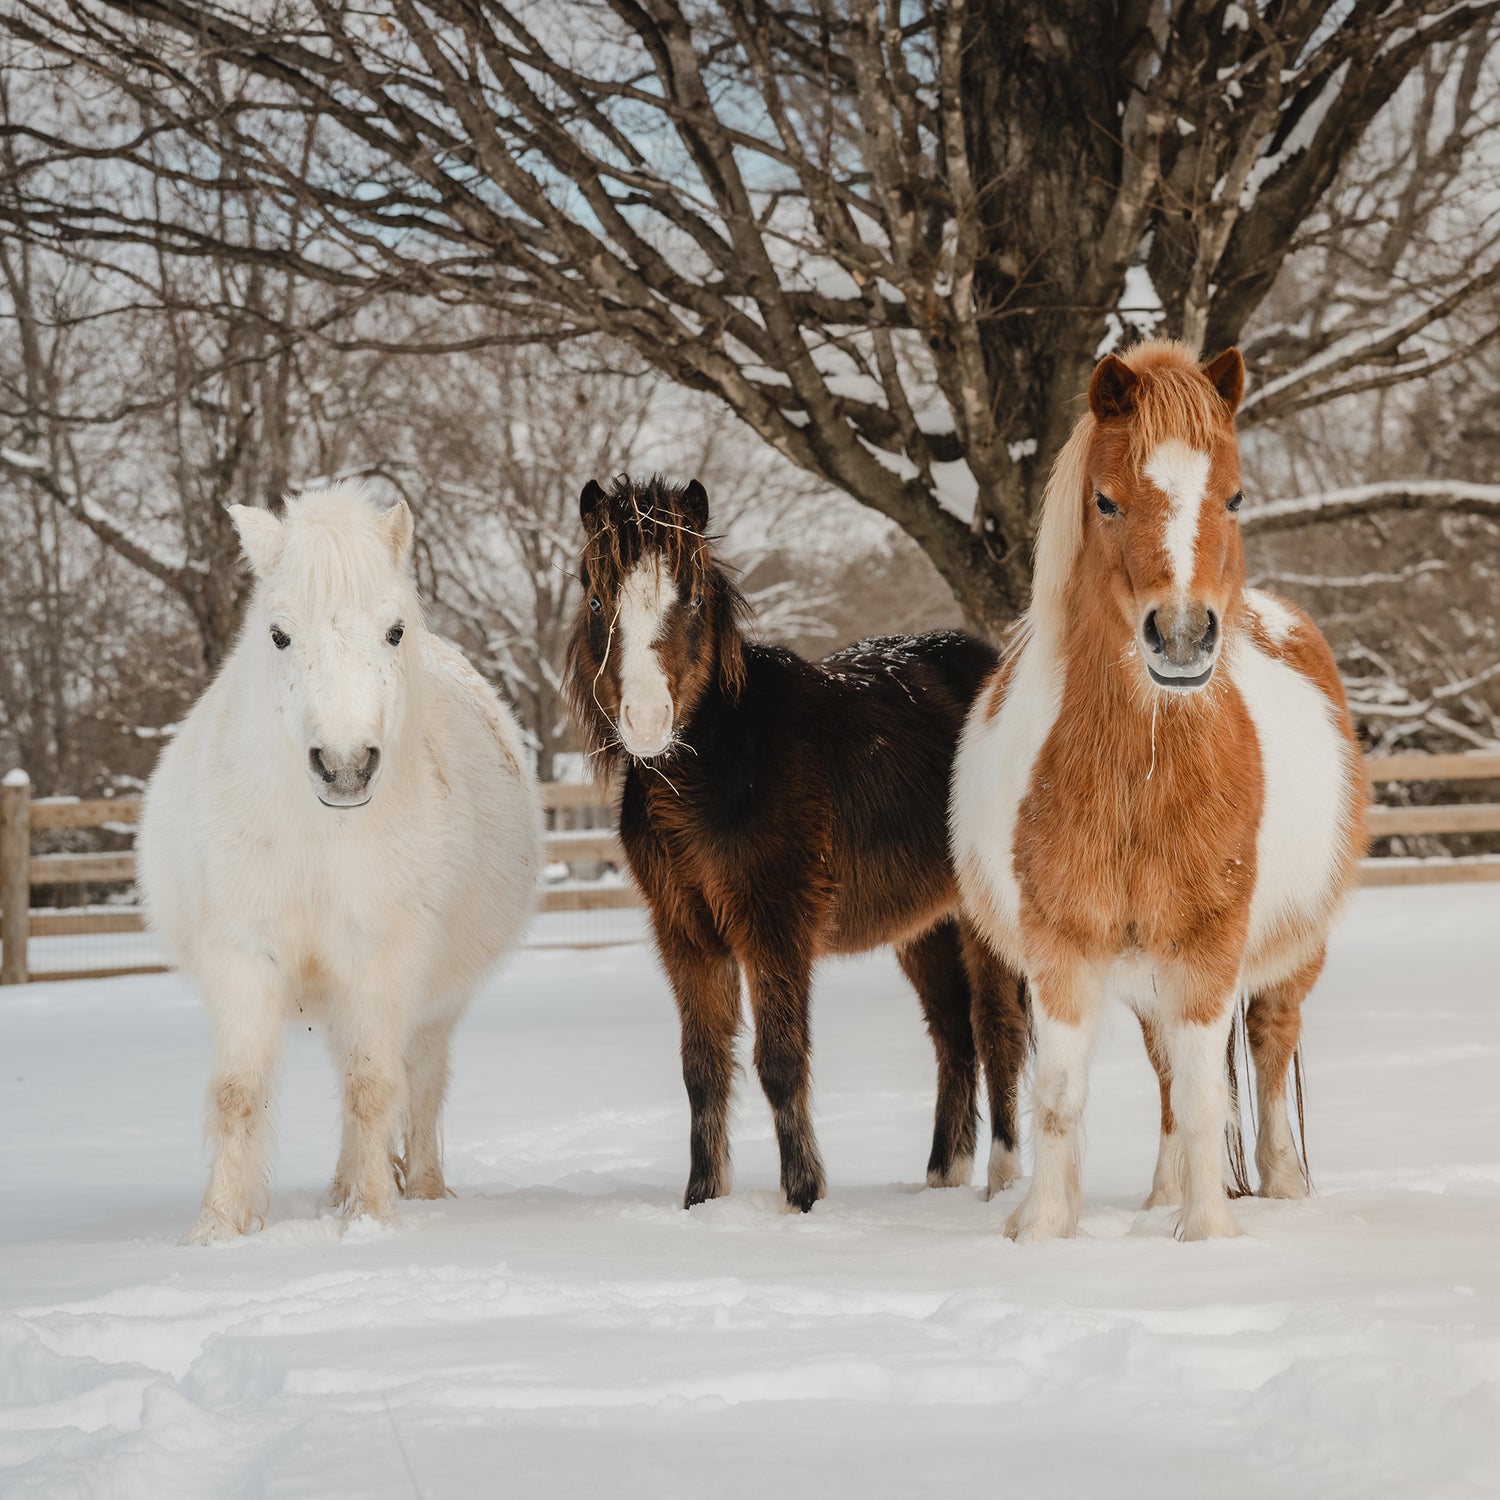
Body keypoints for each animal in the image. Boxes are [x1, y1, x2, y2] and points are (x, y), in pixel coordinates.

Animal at [138, 480, 543, 1242]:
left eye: (393, 631)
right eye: (279, 634)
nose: (347, 766)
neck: (318, 838)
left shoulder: (382, 960)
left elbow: (375, 1087)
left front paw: (373, 1219)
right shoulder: (244, 955)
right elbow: (239, 1092)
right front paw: (217, 1230)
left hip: (431, 1004)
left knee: (419, 1081)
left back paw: (419, 1189)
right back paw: (339, 1189)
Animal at [564, 474, 1032, 1212]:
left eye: (690, 598)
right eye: (595, 598)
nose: (646, 721)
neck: (718, 774)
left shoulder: (773, 926)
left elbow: (780, 1062)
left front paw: (802, 1197)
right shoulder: (685, 937)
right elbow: (702, 1068)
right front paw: (703, 1200)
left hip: (983, 918)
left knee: (997, 1029)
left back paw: (1003, 1180)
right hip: (926, 925)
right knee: (953, 1034)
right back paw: (941, 1176)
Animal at [954, 343, 1368, 1242]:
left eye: (1235, 495)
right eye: (1106, 500)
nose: (1181, 638)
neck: (1138, 775)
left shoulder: (1210, 950)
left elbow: (1214, 1095)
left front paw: (1207, 1234)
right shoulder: (1061, 948)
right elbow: (1063, 1097)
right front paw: (1043, 1231)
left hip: (1289, 953)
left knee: (1267, 1048)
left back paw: (1281, 1184)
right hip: (1149, 975)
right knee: (1169, 1077)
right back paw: (1157, 1197)